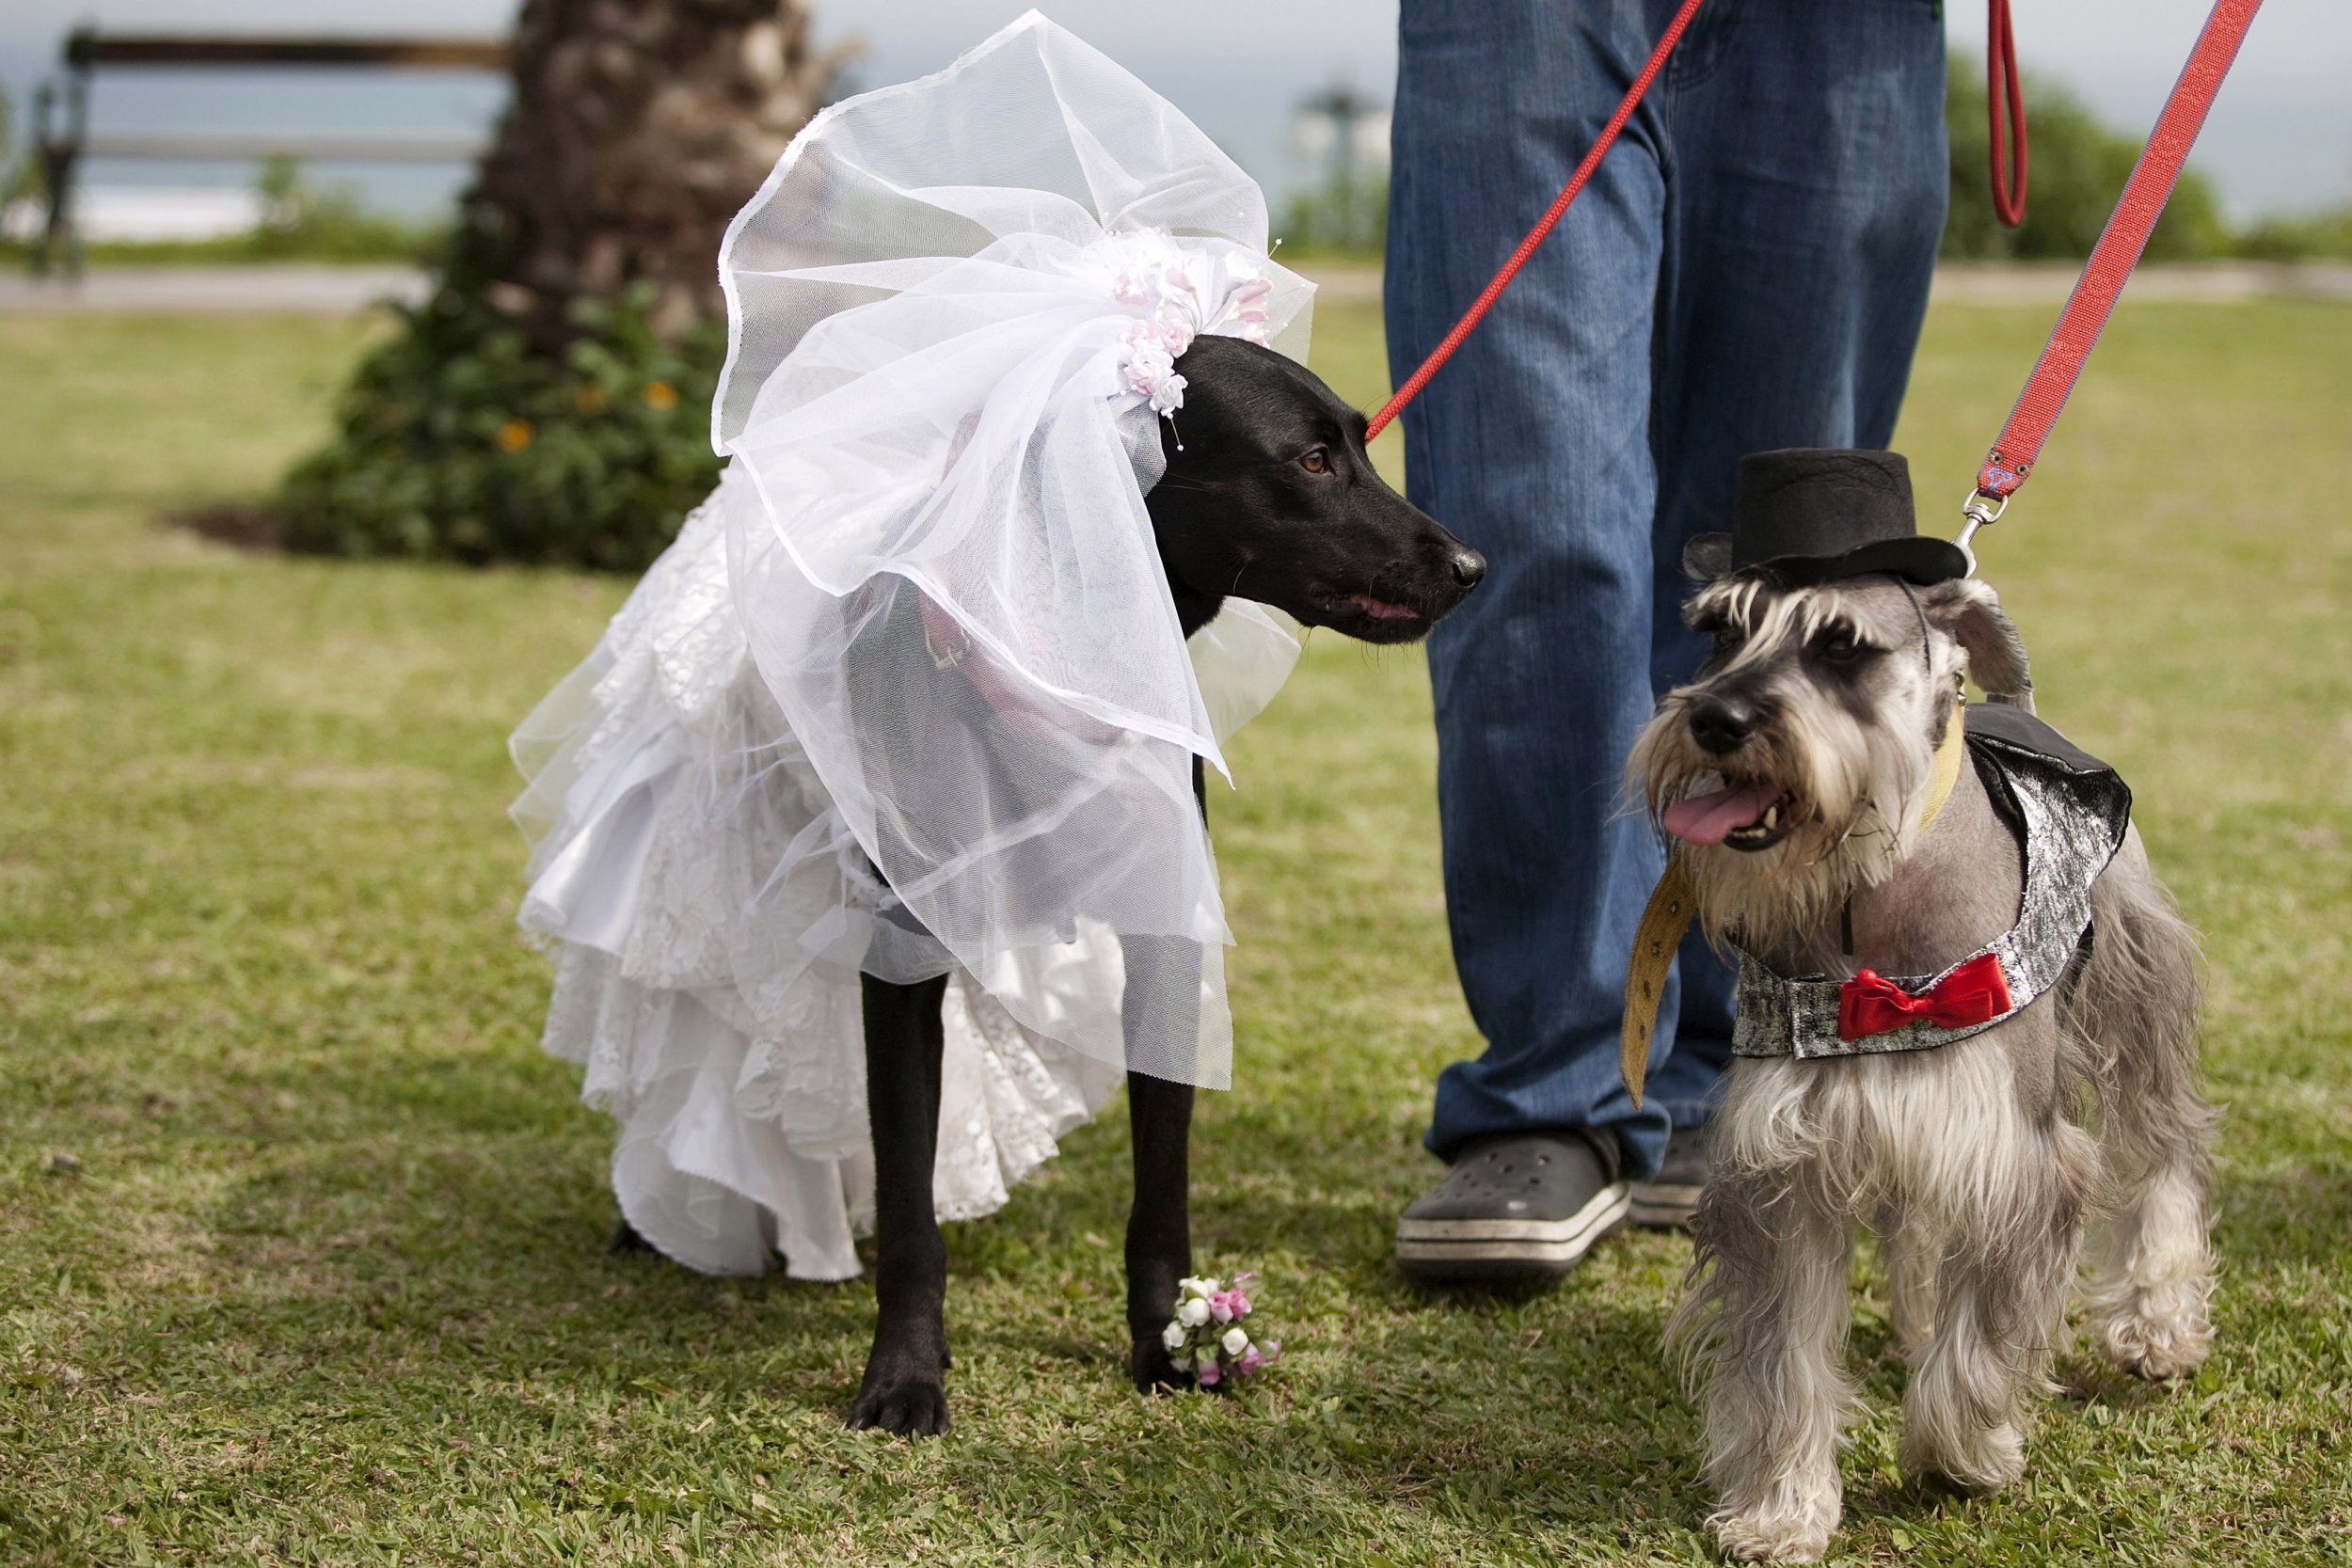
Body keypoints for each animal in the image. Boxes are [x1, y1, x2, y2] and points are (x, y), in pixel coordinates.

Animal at [616, 338, 1477, 1438]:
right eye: (1313, 460)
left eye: (1362, 443)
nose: (1471, 567)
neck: (1053, 656)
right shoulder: (901, 960)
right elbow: (908, 1204)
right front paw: (903, 1374)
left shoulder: (1164, 933)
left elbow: (1161, 1188)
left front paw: (1170, 1342)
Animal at [1628, 446, 2211, 1560]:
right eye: (1718, 628)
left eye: (1841, 643)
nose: (1715, 719)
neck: (1865, 897)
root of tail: (2013, 703)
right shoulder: (1786, 1164)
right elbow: (1782, 1362)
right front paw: (1782, 1508)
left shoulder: (2015, 1151)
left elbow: (1984, 1336)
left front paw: (1961, 1449)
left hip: (2134, 990)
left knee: (2162, 1147)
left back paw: (2156, 1319)